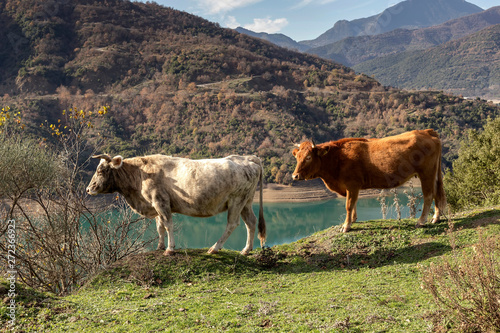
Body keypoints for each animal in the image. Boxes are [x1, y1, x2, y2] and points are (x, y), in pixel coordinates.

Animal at [87, 153, 266, 254]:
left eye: (101, 170)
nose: (88, 189)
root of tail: (249, 158)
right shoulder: (154, 205)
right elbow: (159, 226)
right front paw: (159, 247)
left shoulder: (160, 201)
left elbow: (167, 225)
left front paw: (169, 249)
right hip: (246, 201)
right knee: (251, 222)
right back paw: (246, 250)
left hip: (236, 200)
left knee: (233, 224)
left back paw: (214, 248)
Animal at [292, 128, 448, 232]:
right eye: (297, 157)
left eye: (308, 157)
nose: (295, 176)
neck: (337, 158)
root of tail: (426, 131)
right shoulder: (351, 187)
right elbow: (353, 203)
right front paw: (353, 220)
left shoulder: (352, 184)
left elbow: (349, 205)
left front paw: (346, 226)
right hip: (433, 173)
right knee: (437, 192)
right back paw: (436, 218)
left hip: (426, 173)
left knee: (428, 195)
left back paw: (421, 221)